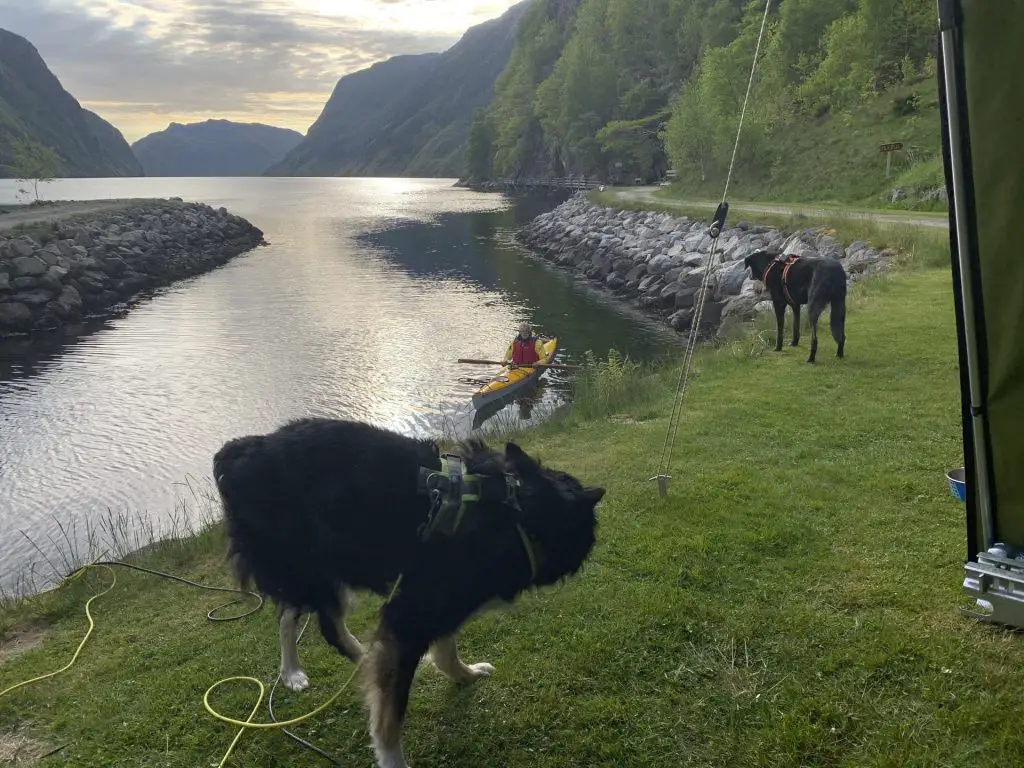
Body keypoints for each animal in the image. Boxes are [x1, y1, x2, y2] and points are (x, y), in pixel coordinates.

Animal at [212, 421, 602, 768]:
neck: (519, 516)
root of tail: (240, 449)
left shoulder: (437, 606)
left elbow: (445, 650)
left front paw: (465, 675)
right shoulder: (411, 616)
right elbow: (390, 715)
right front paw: (392, 758)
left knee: (302, 618)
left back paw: (339, 663)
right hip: (312, 571)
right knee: (306, 621)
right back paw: (300, 671)